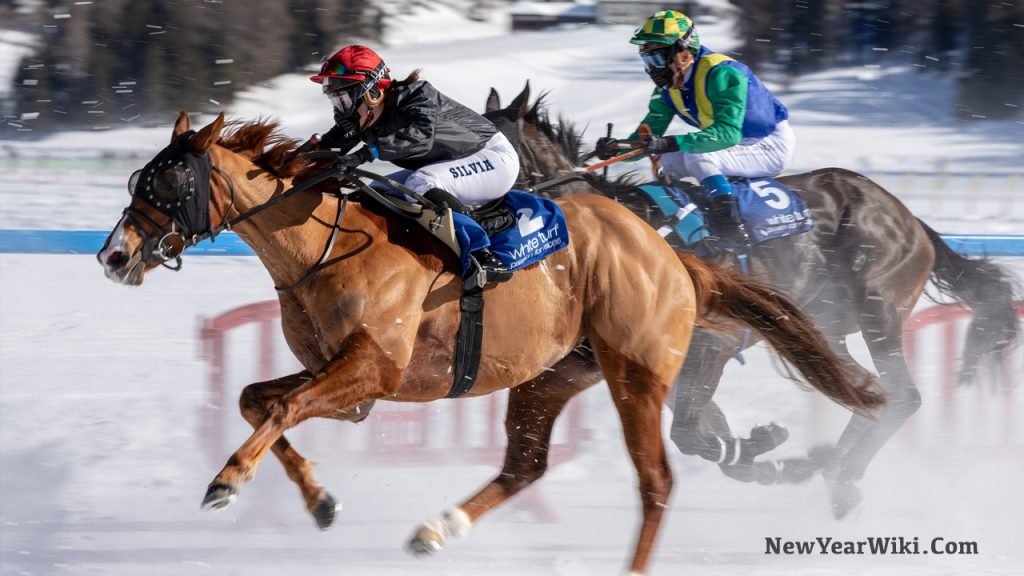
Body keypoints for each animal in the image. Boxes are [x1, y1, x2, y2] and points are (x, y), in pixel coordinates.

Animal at [99, 111, 884, 569]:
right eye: (141, 179)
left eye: (169, 183)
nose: (112, 255)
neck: (323, 245)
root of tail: (672, 257)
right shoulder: (343, 382)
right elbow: (255, 400)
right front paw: (320, 502)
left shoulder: (373, 371)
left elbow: (281, 408)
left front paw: (228, 481)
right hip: (553, 374)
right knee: (527, 465)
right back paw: (437, 528)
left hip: (636, 371)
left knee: (657, 481)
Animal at [483, 84, 1019, 516]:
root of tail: (910, 219)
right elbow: (703, 436)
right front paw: (770, 458)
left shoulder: (713, 346)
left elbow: (691, 434)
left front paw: (769, 450)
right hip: (822, 328)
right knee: (868, 391)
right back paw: (833, 471)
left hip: (878, 305)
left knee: (902, 396)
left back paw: (842, 473)